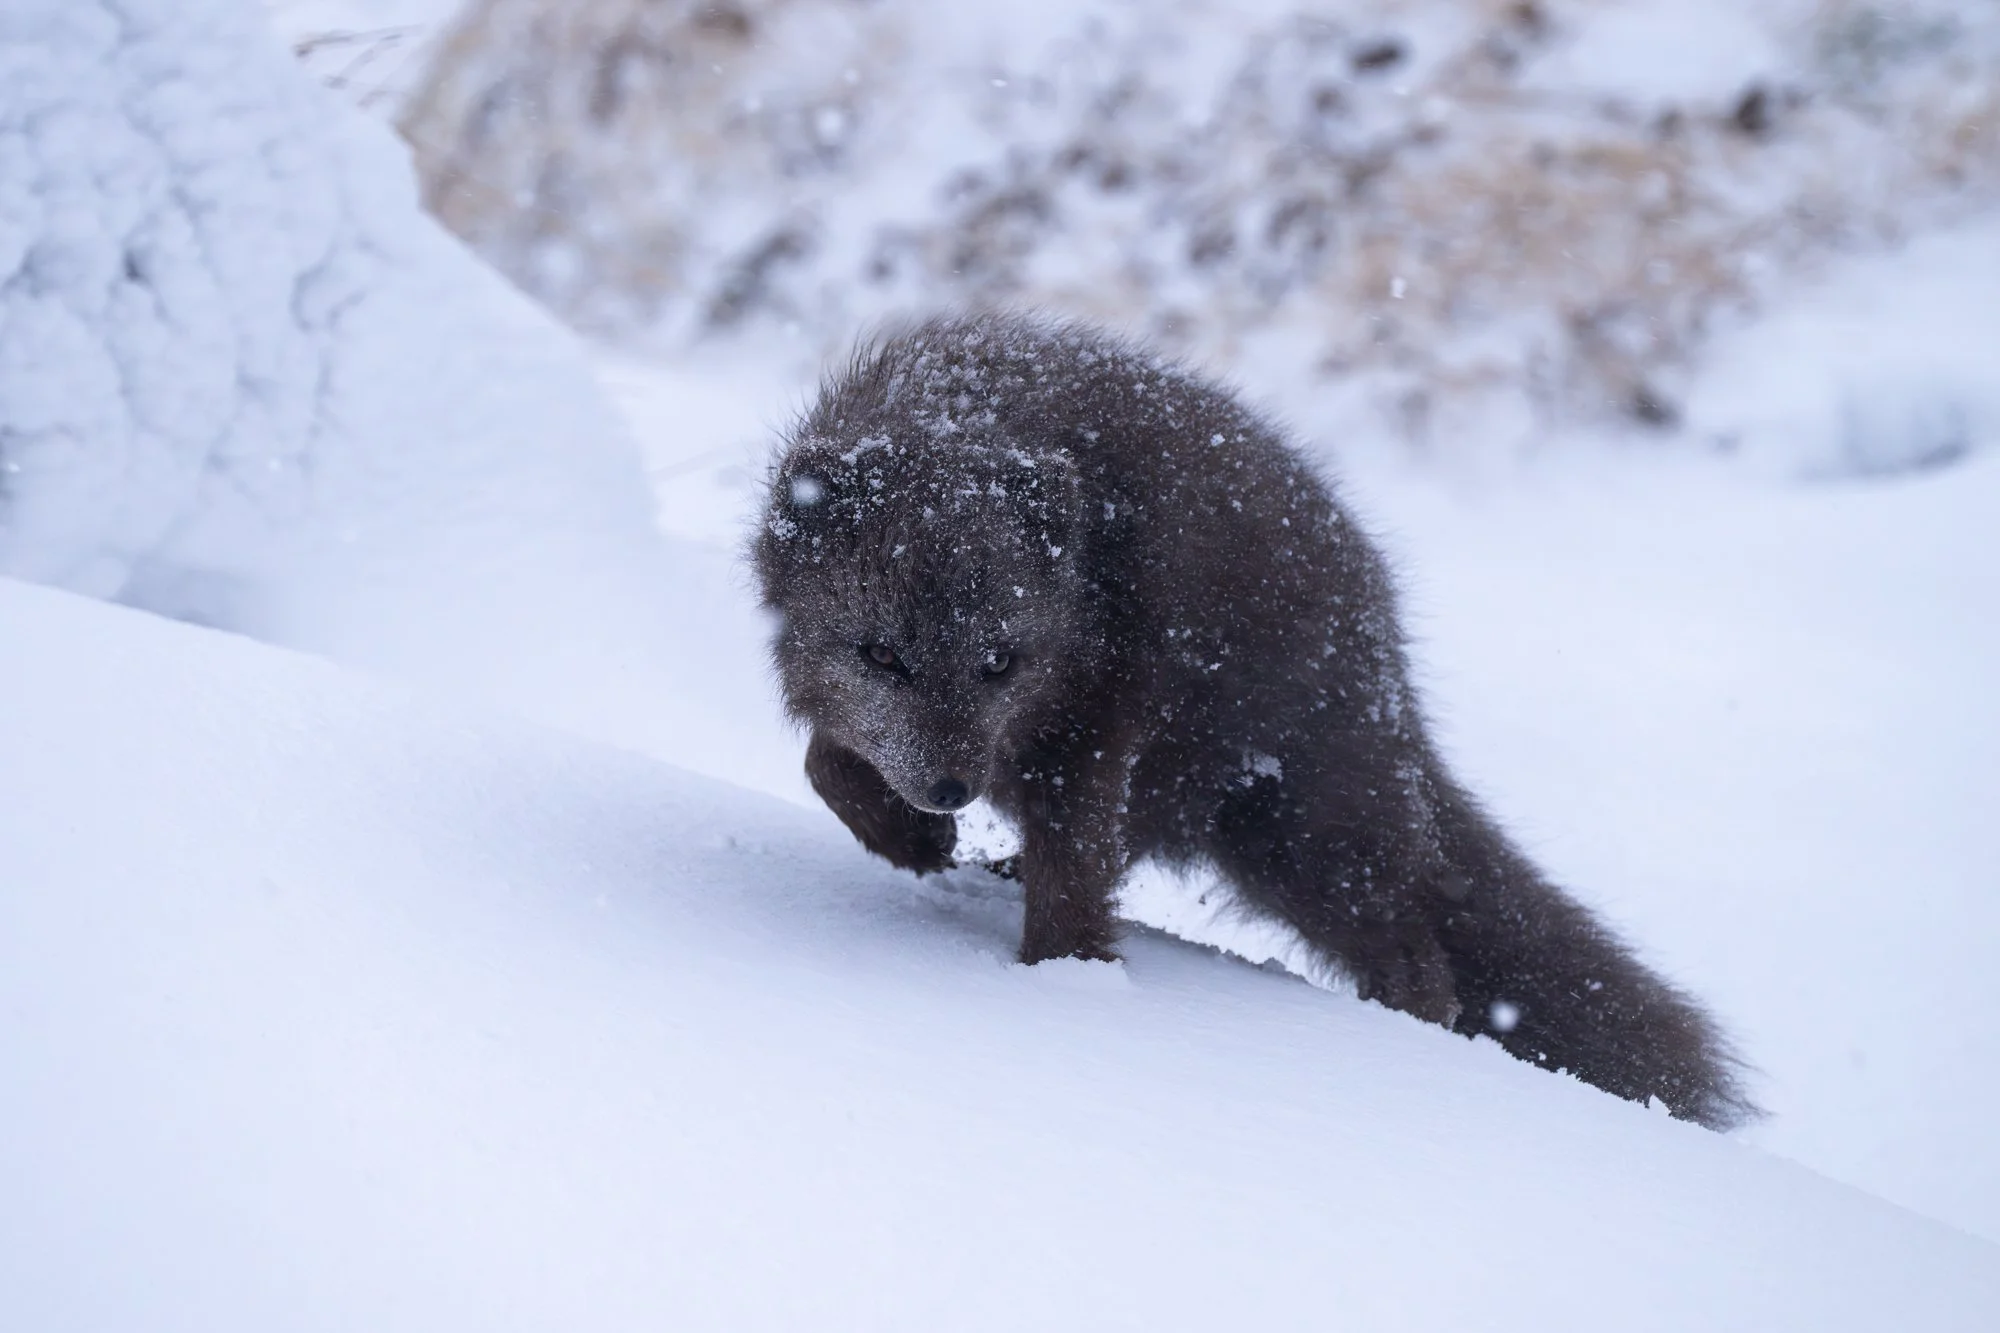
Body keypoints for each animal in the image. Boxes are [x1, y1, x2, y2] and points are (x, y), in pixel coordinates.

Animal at [752, 312, 1754, 1128]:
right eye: (881, 655)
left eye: (1000, 661)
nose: (951, 787)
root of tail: (1390, 664)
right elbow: (825, 760)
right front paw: (910, 840)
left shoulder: (1097, 726)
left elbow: (1074, 876)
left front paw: (1064, 988)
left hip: (1304, 836)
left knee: (1421, 960)